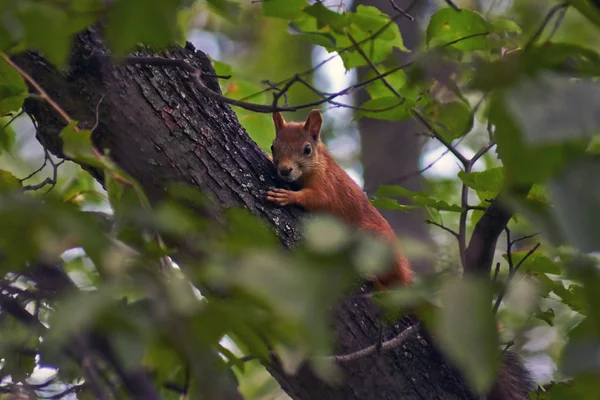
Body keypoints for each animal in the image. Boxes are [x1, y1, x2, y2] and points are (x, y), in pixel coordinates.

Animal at [268, 108, 412, 288]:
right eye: (273, 146)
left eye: (307, 149)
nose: (285, 170)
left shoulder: (328, 183)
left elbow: (320, 198)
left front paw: (288, 195)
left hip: (372, 238)